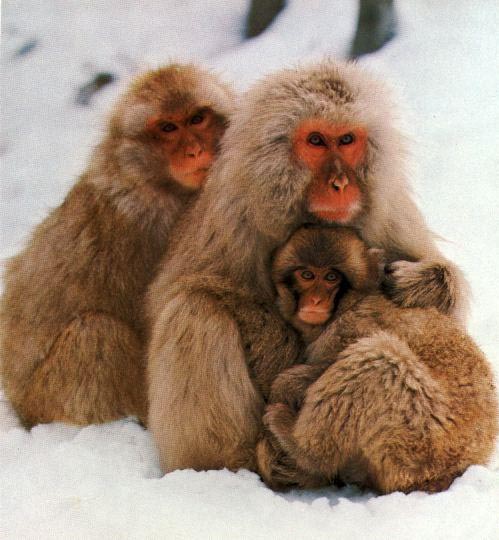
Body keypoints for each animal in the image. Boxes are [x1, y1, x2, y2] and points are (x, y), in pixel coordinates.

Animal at [0, 62, 235, 426]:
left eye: (197, 119)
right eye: (168, 128)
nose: (195, 151)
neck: (154, 183)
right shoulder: (144, 227)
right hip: (48, 398)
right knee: (96, 333)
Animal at [147, 58, 472, 472]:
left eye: (346, 140)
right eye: (316, 141)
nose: (340, 184)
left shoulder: (388, 209)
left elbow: (440, 310)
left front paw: (423, 283)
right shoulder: (232, 213)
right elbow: (182, 291)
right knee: (193, 310)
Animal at [256, 226, 498, 496]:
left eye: (331, 277)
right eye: (306, 275)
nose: (316, 300)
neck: (350, 303)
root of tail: (459, 466)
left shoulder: (352, 325)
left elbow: (328, 364)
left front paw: (286, 384)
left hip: (419, 441)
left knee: (379, 361)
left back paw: (301, 447)